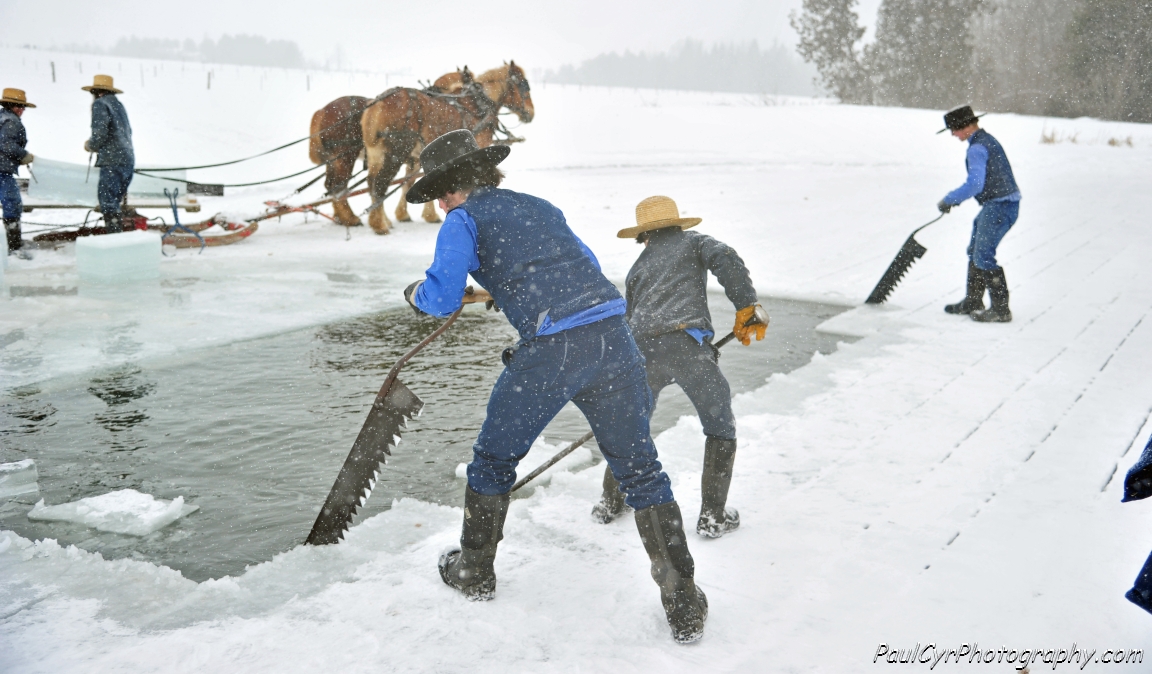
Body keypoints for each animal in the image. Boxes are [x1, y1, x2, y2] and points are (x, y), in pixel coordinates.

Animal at [311, 63, 534, 231]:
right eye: (524, 85)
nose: (530, 114)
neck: (473, 105)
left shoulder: (417, 157)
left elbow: (412, 182)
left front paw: (406, 215)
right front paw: (427, 215)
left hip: (371, 154)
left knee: (356, 184)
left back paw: (355, 218)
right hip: (367, 154)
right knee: (359, 185)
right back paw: (371, 224)